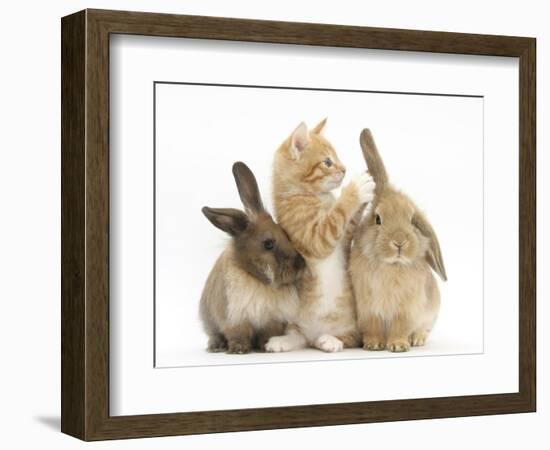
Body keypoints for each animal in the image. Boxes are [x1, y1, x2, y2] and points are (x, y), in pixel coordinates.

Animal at [202, 162, 308, 356]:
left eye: (285, 233)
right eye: (268, 244)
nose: (300, 264)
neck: (258, 280)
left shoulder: (272, 320)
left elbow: (268, 333)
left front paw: (266, 345)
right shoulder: (234, 318)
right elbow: (238, 334)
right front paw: (239, 350)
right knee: (214, 335)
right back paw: (216, 346)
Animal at [266, 119, 378, 352]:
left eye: (337, 158)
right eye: (327, 162)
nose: (344, 169)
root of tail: (314, 334)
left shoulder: (345, 236)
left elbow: (350, 219)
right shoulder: (314, 236)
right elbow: (337, 214)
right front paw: (356, 188)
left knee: (350, 338)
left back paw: (329, 339)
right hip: (295, 321)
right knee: (299, 336)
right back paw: (285, 340)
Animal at [354, 129, 448, 352]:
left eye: (412, 219)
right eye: (378, 219)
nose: (399, 242)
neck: (391, 266)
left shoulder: (406, 309)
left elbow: (401, 327)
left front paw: (398, 346)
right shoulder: (368, 308)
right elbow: (373, 327)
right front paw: (373, 345)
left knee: (423, 330)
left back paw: (417, 340)